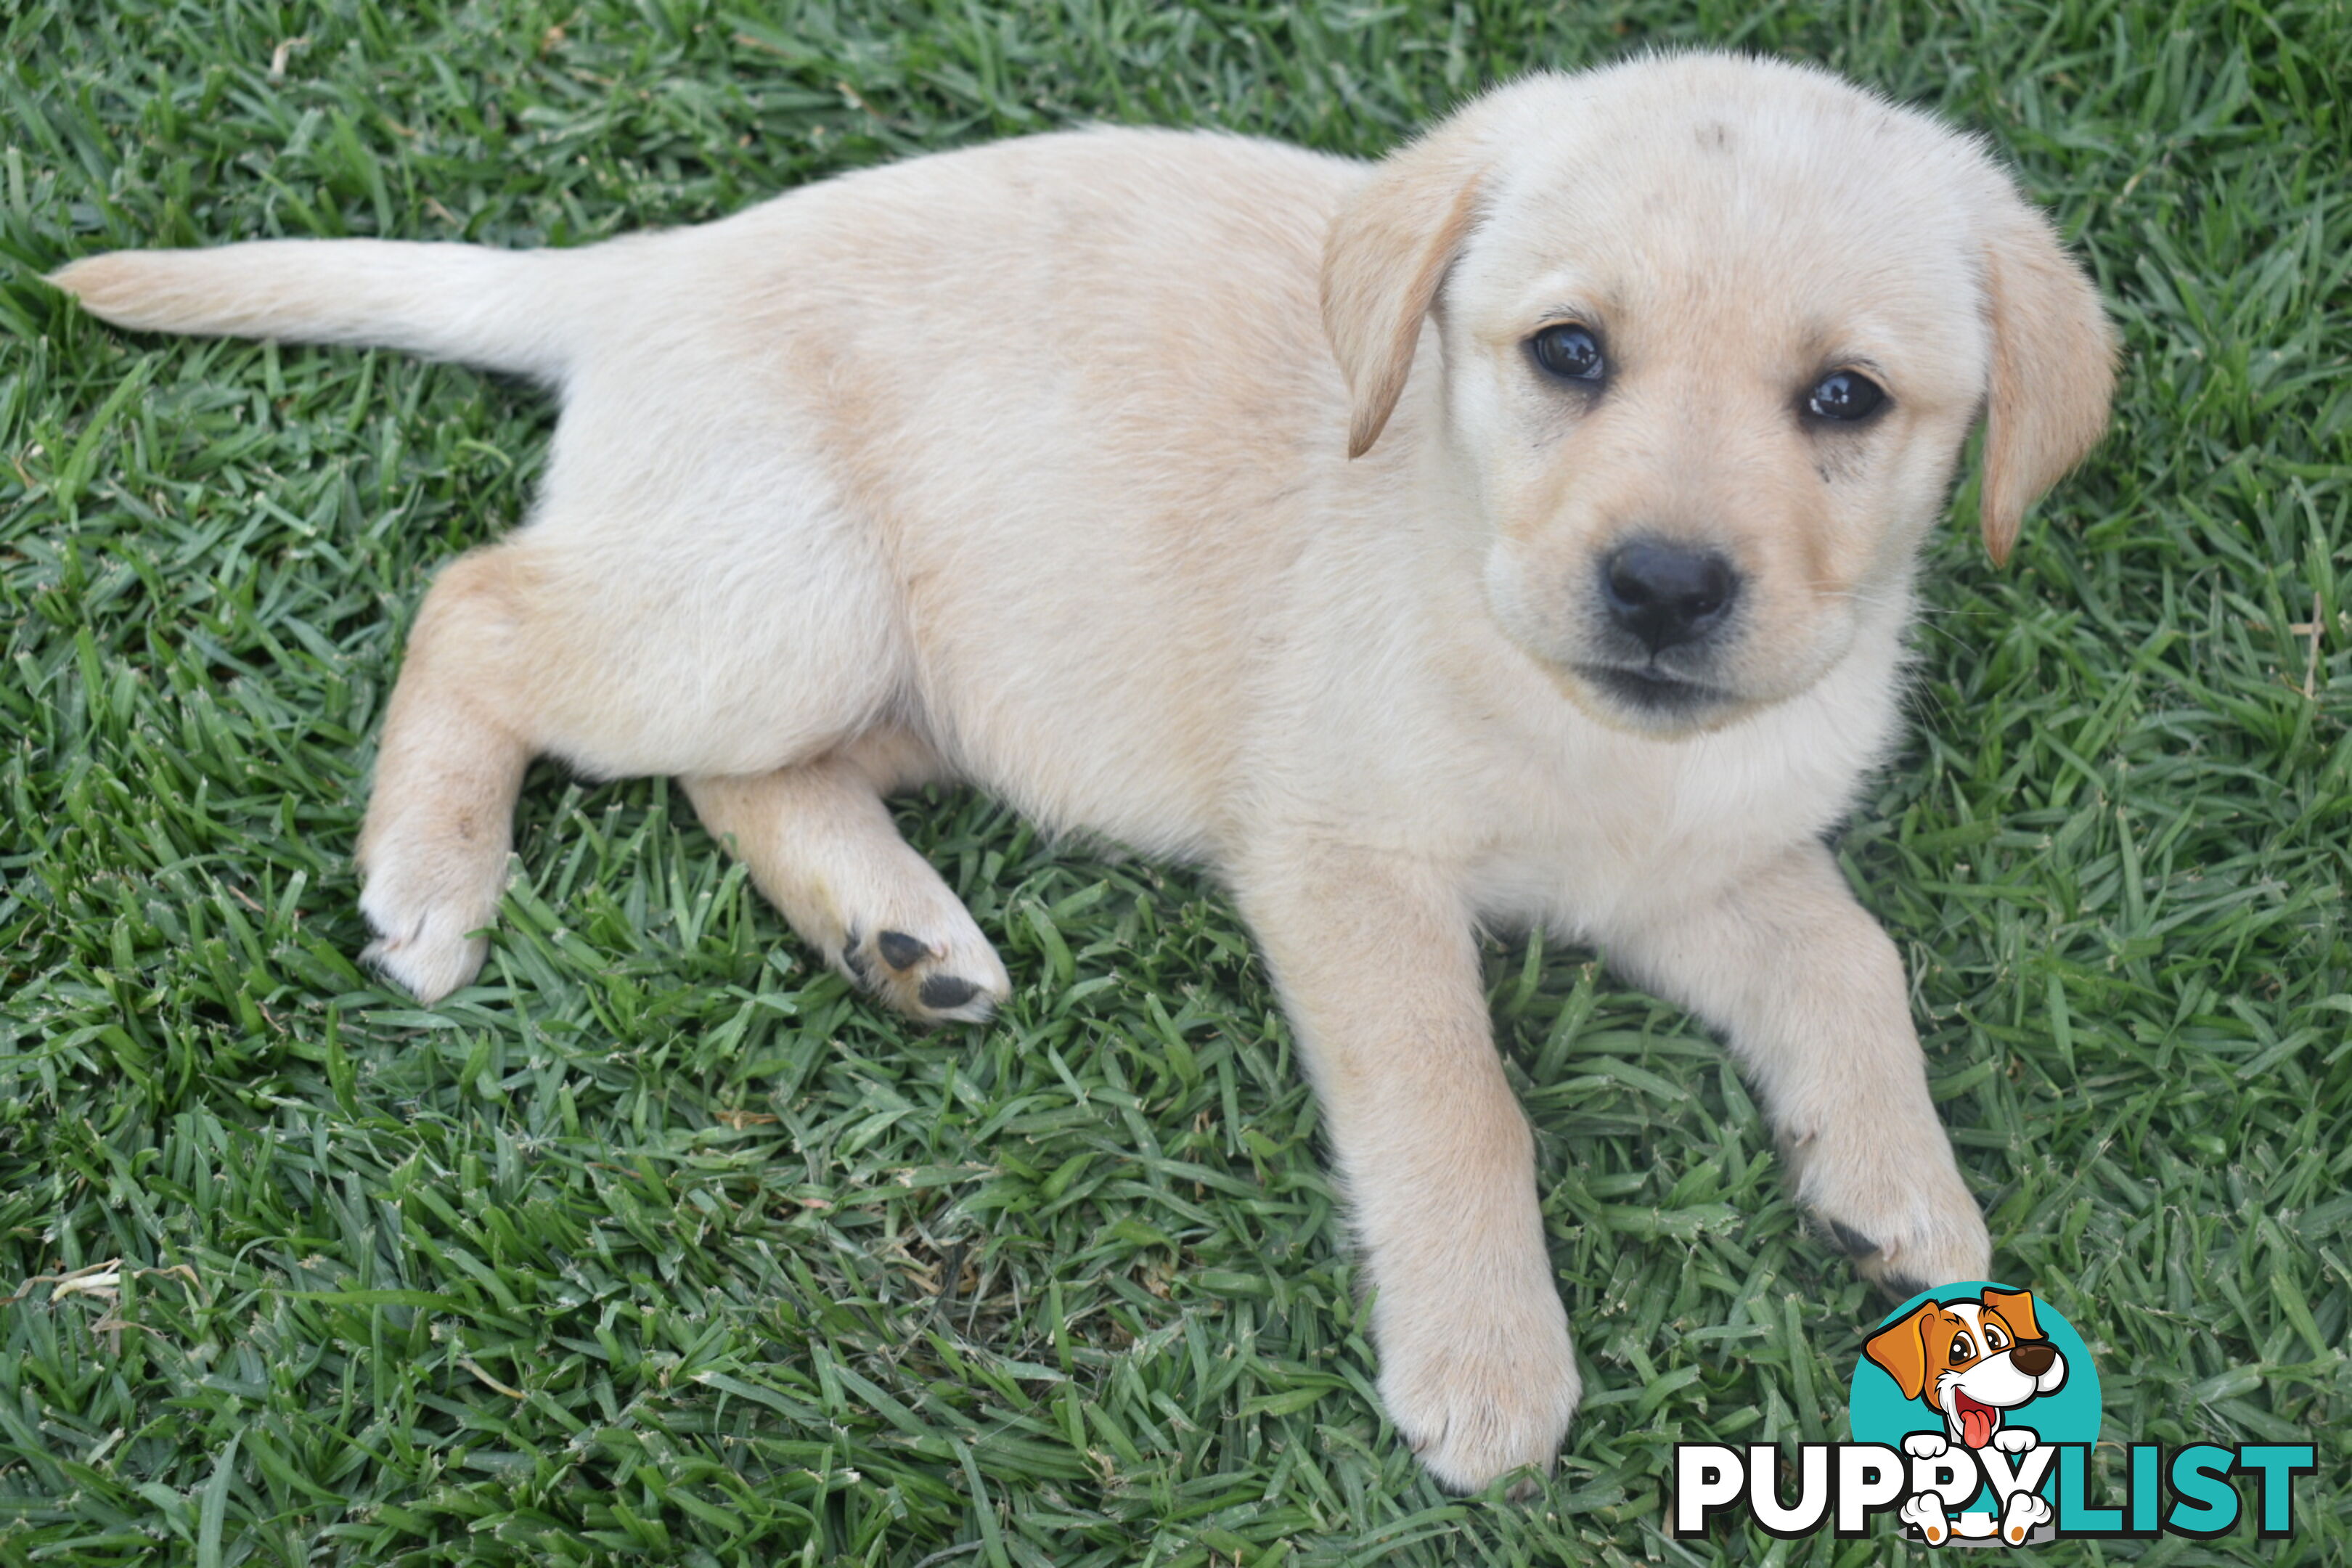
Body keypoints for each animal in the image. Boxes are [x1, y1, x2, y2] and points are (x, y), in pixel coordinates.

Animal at [50, 52, 2117, 1495]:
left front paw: (1900, 1191)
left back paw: (895, 934)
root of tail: (641, 276)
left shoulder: (1698, 856)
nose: (1666, 587)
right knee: (478, 603)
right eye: (1567, 352)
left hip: (931, 670)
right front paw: (1485, 1362)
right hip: (778, 597)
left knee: (739, 775)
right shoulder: (1342, 864)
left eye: (1843, 399)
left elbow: (1851, 958)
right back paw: (431, 872)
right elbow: (1458, 1104)